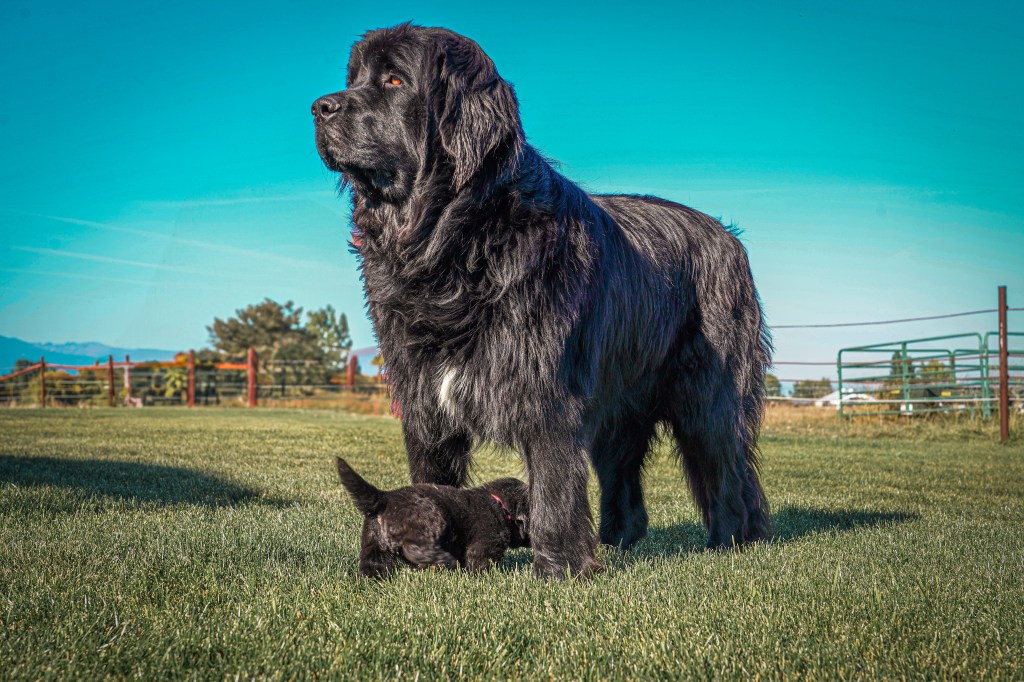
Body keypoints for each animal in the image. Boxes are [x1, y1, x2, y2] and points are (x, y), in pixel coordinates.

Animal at [335, 457, 529, 578]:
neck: (501, 506)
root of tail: (385, 498)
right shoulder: (483, 546)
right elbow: (480, 564)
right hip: (431, 522)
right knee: (414, 548)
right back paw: (443, 560)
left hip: (373, 544)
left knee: (373, 564)